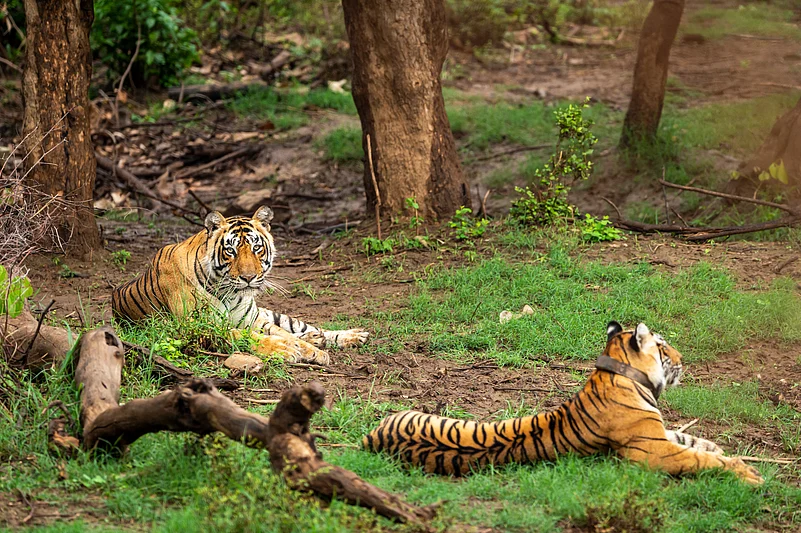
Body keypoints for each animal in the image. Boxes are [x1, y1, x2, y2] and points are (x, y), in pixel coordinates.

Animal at [111, 206, 369, 364]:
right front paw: (285, 350)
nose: (248, 277)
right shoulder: (200, 327)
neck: (230, 293)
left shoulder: (254, 320)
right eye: (231, 251)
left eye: (256, 248)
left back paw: (350, 335)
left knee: (302, 327)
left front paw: (313, 352)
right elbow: (253, 338)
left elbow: (286, 335)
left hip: (270, 314)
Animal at [363, 321, 763, 484]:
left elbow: (694, 440)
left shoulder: (659, 434)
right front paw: (748, 474)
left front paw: (727, 452)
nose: (683, 359)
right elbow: (698, 458)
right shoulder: (652, 451)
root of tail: (371, 438)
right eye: (663, 346)